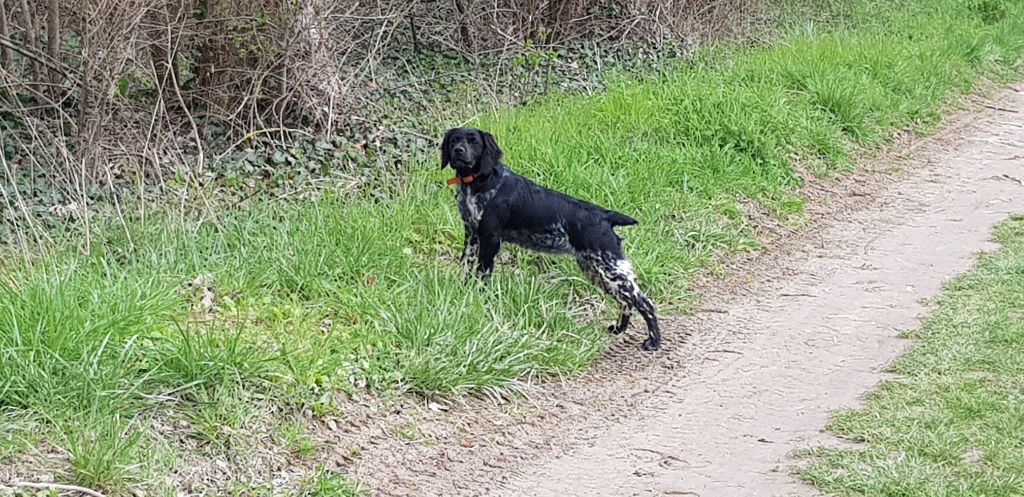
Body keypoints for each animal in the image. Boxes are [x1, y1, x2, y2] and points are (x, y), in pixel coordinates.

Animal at [440, 127, 663, 348]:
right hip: (596, 270)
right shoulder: (471, 234)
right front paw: (463, 292)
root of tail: (606, 216)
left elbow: (482, 275)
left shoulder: (490, 239)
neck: (481, 182)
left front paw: (479, 298)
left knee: (644, 302)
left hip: (610, 270)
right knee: (626, 301)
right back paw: (619, 329)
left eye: (474, 141)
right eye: (454, 140)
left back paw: (654, 341)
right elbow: (466, 266)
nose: (459, 151)